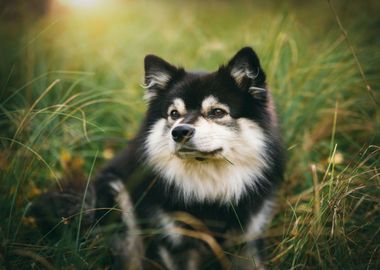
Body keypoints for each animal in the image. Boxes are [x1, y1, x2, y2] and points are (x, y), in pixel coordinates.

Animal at [29, 47, 284, 268]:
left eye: (217, 112)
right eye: (174, 114)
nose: (179, 132)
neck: (208, 191)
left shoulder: (248, 241)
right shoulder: (175, 244)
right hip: (117, 199)